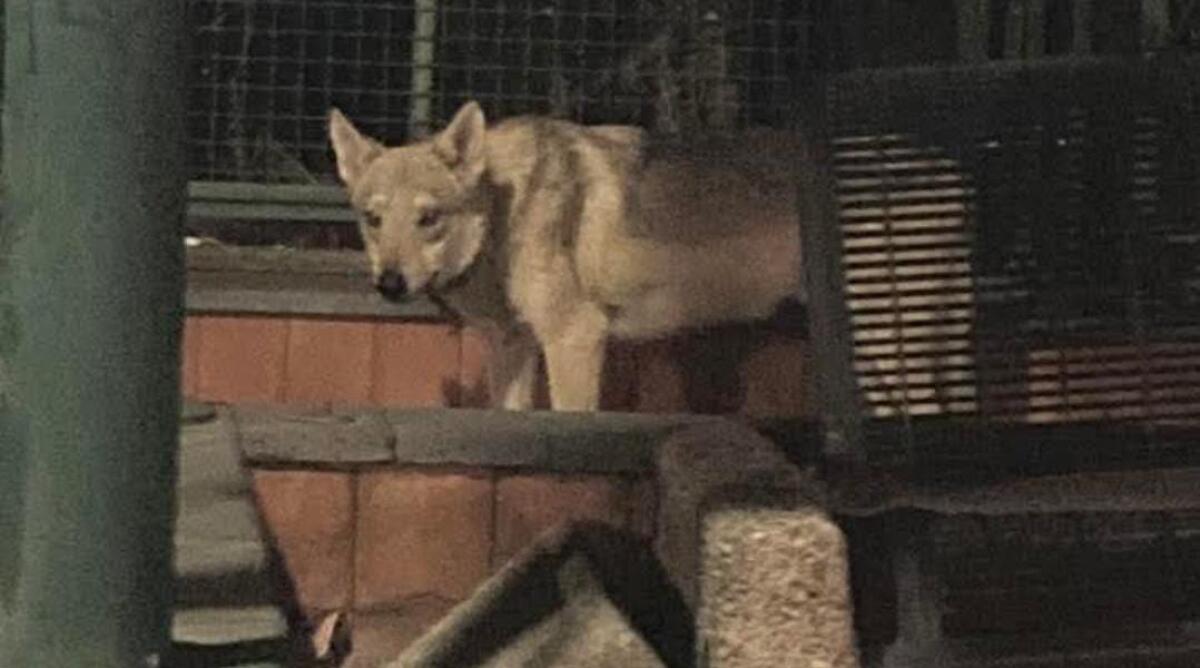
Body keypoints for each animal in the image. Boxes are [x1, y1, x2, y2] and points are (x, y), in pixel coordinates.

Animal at [328, 101, 803, 411]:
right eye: (373, 219)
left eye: (429, 218)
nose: (390, 284)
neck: (505, 214)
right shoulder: (511, 345)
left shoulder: (574, 336)